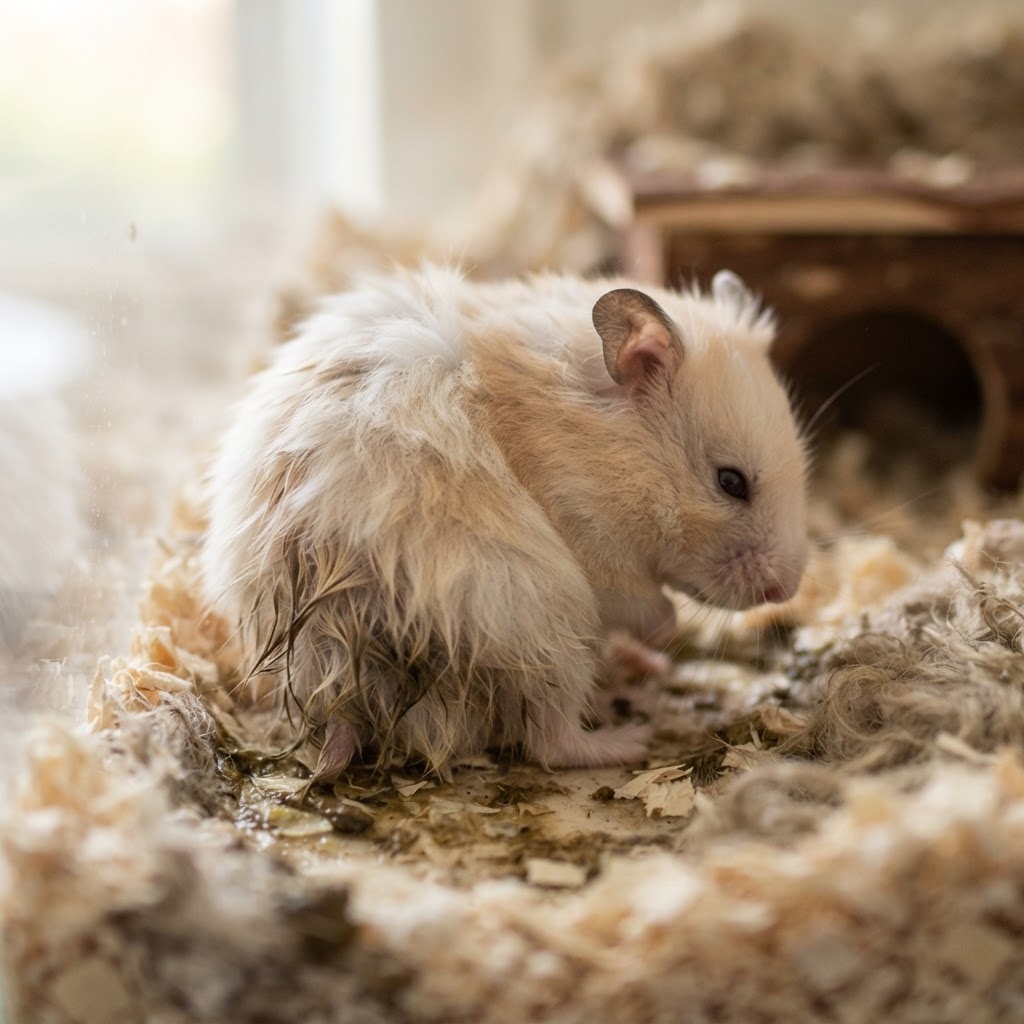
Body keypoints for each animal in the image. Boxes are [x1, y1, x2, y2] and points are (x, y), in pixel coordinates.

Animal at [202, 264, 808, 779]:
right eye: (731, 482)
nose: (787, 589)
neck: (608, 446)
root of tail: (346, 658)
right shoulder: (593, 548)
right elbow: (643, 604)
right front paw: (669, 633)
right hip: (545, 624)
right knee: (550, 740)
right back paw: (631, 737)